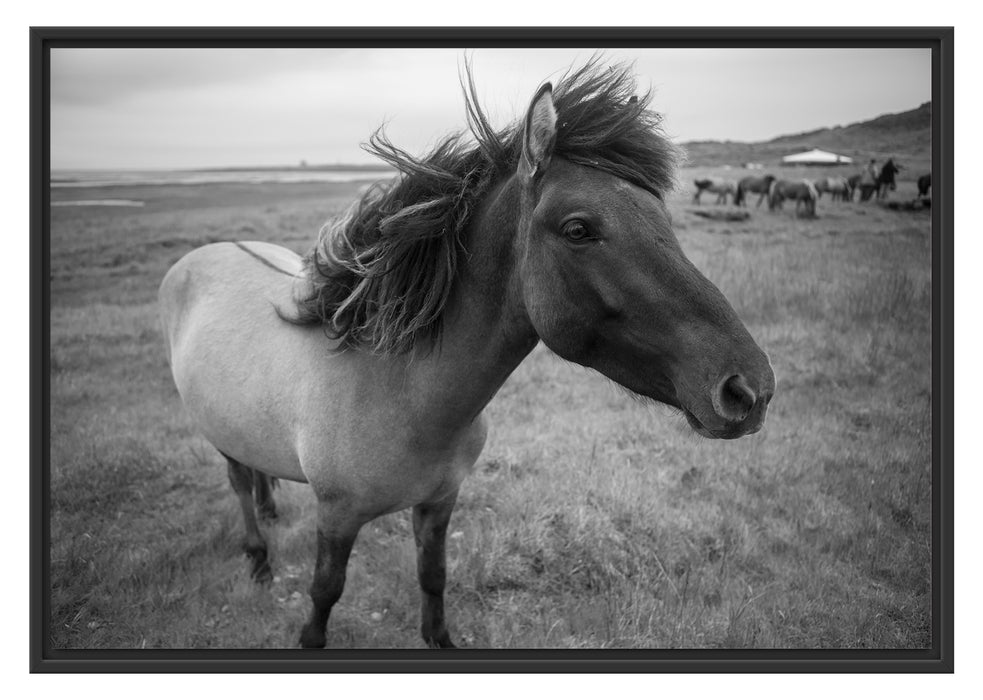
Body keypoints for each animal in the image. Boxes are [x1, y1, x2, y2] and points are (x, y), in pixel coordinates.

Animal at [160, 61, 776, 652]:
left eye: (665, 219)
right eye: (579, 228)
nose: (749, 389)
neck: (399, 393)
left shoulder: (440, 503)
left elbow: (433, 578)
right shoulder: (336, 516)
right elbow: (323, 594)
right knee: (238, 483)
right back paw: (258, 557)